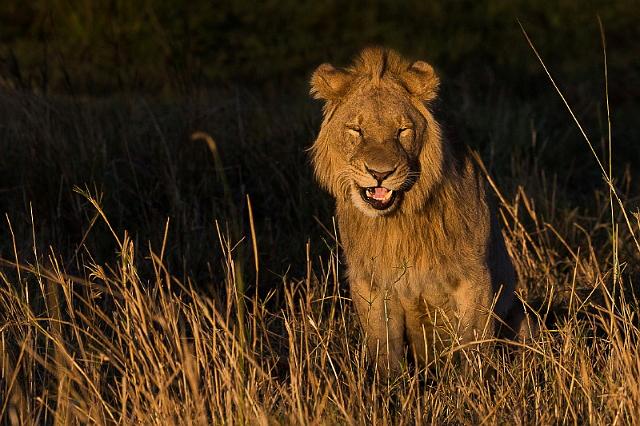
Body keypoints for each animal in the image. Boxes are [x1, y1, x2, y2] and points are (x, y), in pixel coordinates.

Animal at [308, 46, 524, 372]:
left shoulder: (475, 278)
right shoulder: (370, 283)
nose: (380, 173)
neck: (397, 221)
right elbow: (384, 348)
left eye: (403, 130)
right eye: (356, 130)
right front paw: (389, 383)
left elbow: (472, 345)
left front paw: (472, 384)